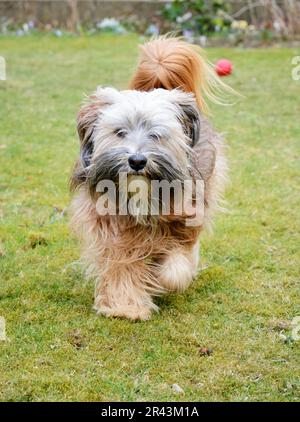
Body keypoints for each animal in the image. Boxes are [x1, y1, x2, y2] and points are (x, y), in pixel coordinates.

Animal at [70, 37, 230, 320]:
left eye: (156, 134)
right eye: (120, 132)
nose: (137, 161)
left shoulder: (184, 218)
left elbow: (176, 262)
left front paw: (161, 277)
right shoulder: (111, 226)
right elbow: (121, 263)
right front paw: (125, 306)